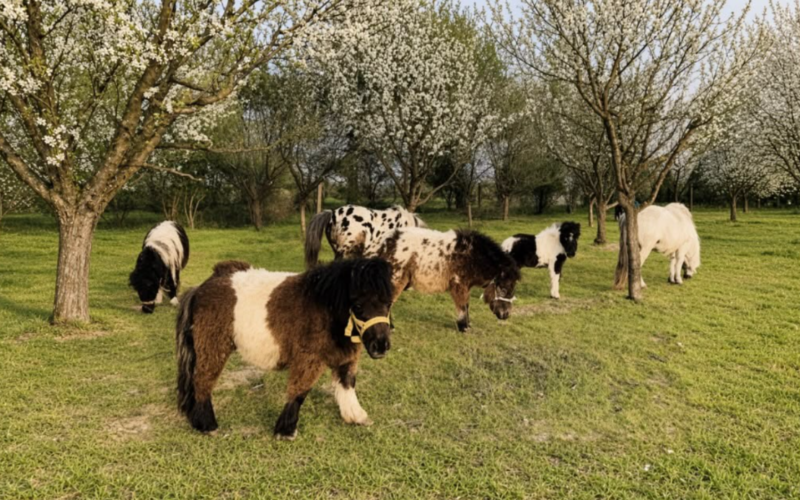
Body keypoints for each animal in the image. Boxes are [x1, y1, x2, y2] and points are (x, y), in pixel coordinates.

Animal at [176, 257, 394, 440]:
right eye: (357, 305)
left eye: (388, 303)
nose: (381, 346)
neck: (325, 307)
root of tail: (201, 287)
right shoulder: (308, 359)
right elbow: (299, 392)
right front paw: (286, 430)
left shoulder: (346, 358)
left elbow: (347, 384)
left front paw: (356, 416)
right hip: (213, 346)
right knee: (202, 380)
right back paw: (207, 425)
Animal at [377, 228, 522, 332]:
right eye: (503, 288)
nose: (506, 315)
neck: (472, 257)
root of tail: (387, 242)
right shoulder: (459, 285)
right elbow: (463, 305)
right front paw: (464, 327)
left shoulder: (465, 286)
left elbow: (466, 305)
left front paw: (466, 324)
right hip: (396, 280)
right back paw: (390, 327)